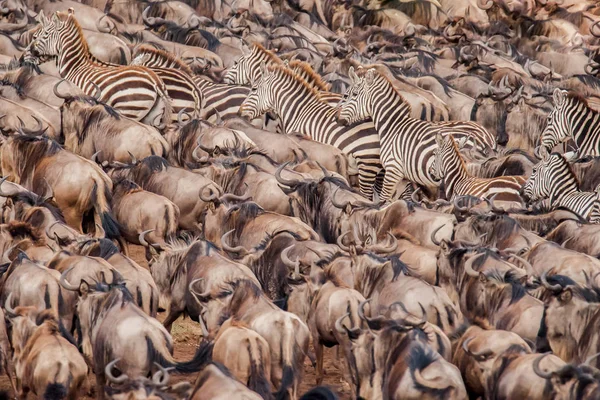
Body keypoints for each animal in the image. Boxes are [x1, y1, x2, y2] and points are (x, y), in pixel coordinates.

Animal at [25, 9, 171, 125]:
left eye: (41, 35)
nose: (25, 55)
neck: (76, 66)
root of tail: (156, 82)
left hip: (129, 109)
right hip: (150, 116)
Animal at [338, 67, 496, 203]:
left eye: (353, 95)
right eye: (346, 95)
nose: (339, 120)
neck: (394, 126)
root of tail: (488, 139)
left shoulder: (393, 169)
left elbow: (384, 199)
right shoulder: (403, 176)